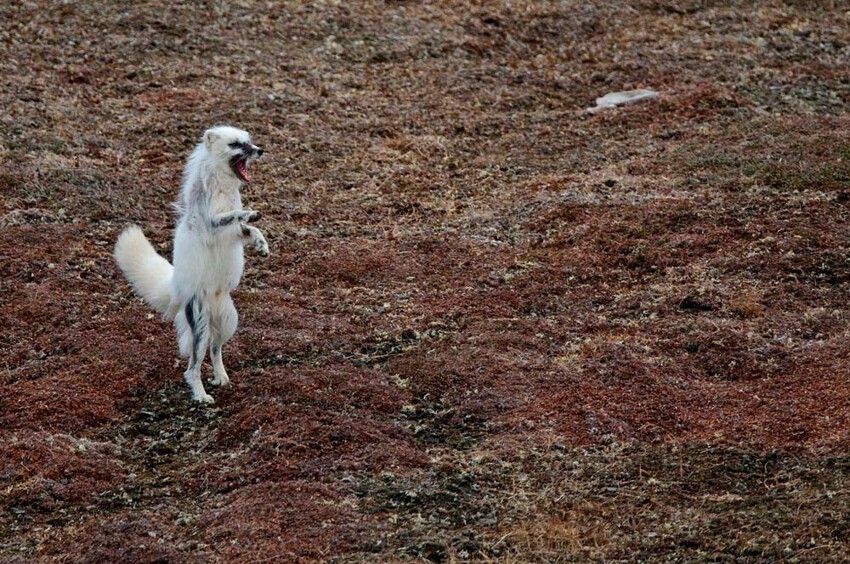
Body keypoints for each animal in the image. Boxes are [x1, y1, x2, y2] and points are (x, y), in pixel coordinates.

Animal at [114, 125, 268, 404]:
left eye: (249, 142)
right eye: (235, 144)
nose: (260, 150)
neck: (223, 189)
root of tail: (177, 291)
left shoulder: (236, 234)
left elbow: (252, 230)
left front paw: (262, 245)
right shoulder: (212, 224)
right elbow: (231, 215)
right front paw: (249, 212)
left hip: (228, 322)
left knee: (216, 350)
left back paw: (221, 378)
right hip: (200, 327)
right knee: (192, 368)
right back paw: (201, 396)